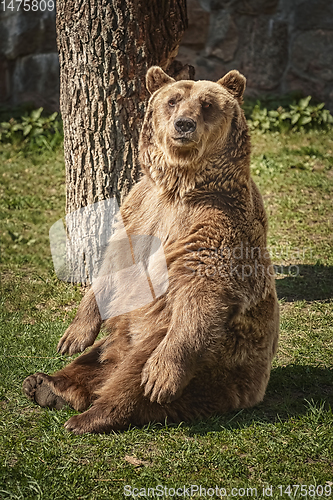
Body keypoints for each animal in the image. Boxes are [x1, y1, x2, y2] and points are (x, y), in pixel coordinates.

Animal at [22, 66, 278, 434]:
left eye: (207, 104)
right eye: (172, 100)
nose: (184, 124)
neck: (179, 186)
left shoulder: (218, 221)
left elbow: (204, 287)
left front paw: (160, 380)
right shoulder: (140, 208)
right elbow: (113, 262)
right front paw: (72, 335)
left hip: (218, 354)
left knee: (135, 372)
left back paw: (93, 414)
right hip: (122, 335)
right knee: (96, 359)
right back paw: (47, 384)